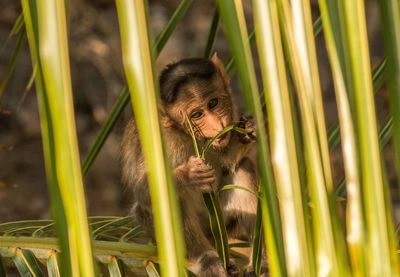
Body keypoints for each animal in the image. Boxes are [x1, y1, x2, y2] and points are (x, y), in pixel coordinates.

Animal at [120, 52, 260, 274]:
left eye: (213, 103)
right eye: (196, 115)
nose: (217, 125)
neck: (185, 134)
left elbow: (229, 160)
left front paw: (246, 132)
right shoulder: (164, 140)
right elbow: (144, 190)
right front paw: (188, 175)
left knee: (242, 169)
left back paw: (260, 262)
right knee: (173, 197)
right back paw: (207, 259)